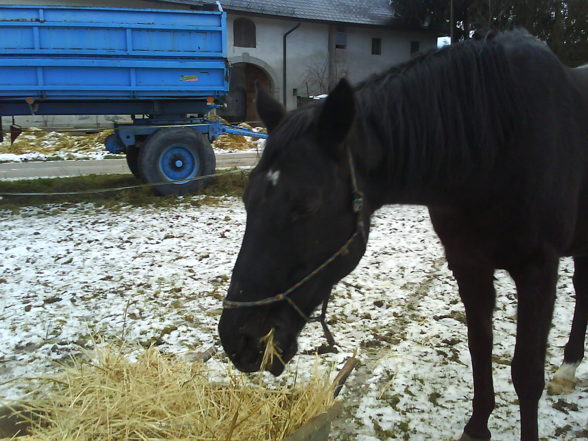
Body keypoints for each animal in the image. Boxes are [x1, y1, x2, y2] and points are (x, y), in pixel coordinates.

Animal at [219, 29, 588, 438]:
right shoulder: (468, 265)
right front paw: (476, 427)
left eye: (306, 205)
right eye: (248, 199)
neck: (498, 143)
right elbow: (479, 348)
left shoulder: (538, 270)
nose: (238, 340)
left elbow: (526, 374)